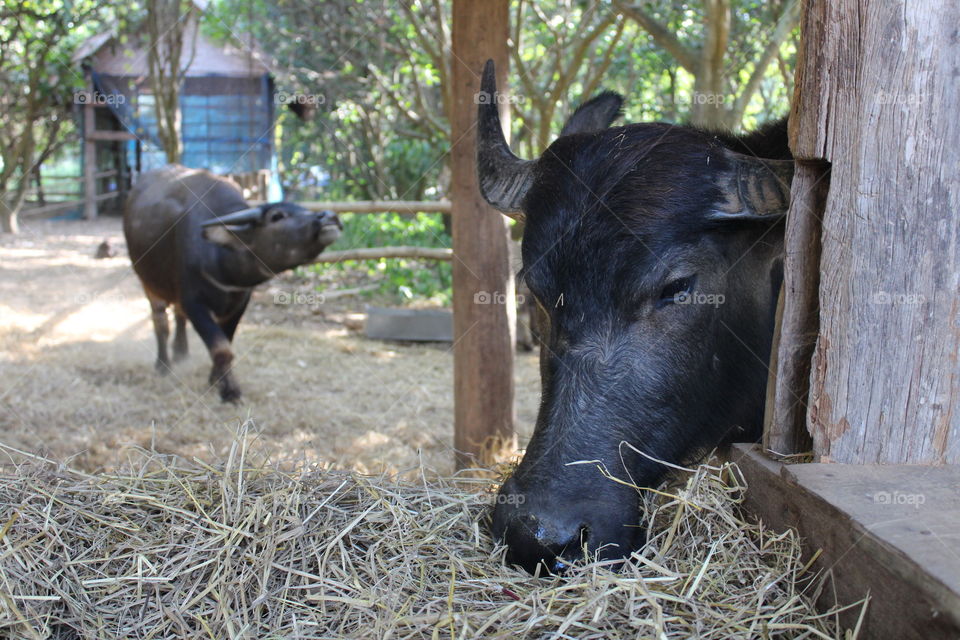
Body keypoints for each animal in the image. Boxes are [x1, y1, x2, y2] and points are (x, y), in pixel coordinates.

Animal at [123, 168, 342, 402]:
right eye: (277, 216)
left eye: (303, 209)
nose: (329, 216)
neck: (220, 261)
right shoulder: (194, 303)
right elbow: (221, 348)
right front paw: (229, 390)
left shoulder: (238, 304)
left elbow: (226, 341)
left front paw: (215, 379)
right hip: (148, 283)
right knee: (160, 322)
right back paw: (163, 364)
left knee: (178, 317)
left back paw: (181, 352)